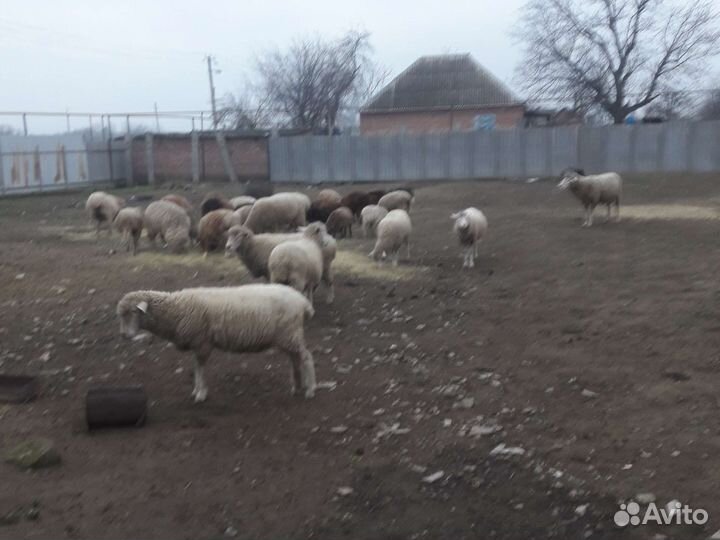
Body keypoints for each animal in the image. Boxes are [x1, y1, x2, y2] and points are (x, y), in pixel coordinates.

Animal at [117, 284, 316, 402]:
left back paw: (310, 389)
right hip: (288, 336)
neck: (176, 309)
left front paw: (200, 393)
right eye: (121, 315)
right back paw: (297, 386)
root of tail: (303, 302)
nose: (124, 335)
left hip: (290, 333)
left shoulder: (202, 342)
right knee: (295, 358)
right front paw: (197, 390)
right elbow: (196, 366)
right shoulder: (197, 343)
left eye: (133, 312)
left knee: (306, 357)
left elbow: (200, 368)